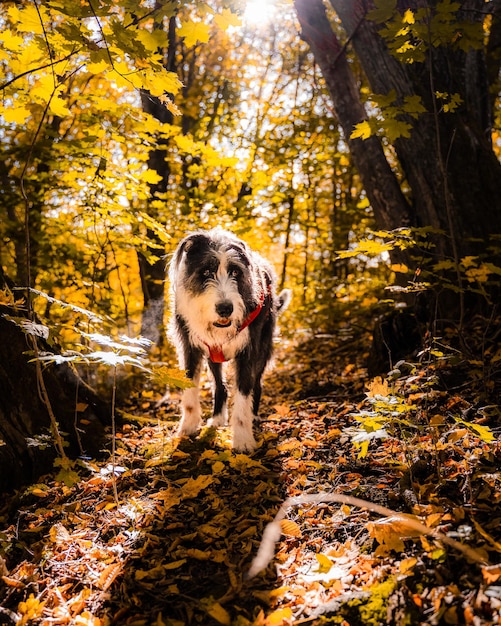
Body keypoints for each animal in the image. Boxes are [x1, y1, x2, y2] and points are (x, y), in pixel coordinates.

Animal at [168, 227, 290, 450]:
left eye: (235, 272)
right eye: (206, 272)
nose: (225, 308)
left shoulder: (248, 351)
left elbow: (243, 393)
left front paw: (243, 439)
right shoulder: (190, 347)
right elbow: (189, 393)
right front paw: (187, 428)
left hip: (263, 350)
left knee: (256, 384)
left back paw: (254, 416)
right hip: (212, 356)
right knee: (220, 386)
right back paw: (217, 418)